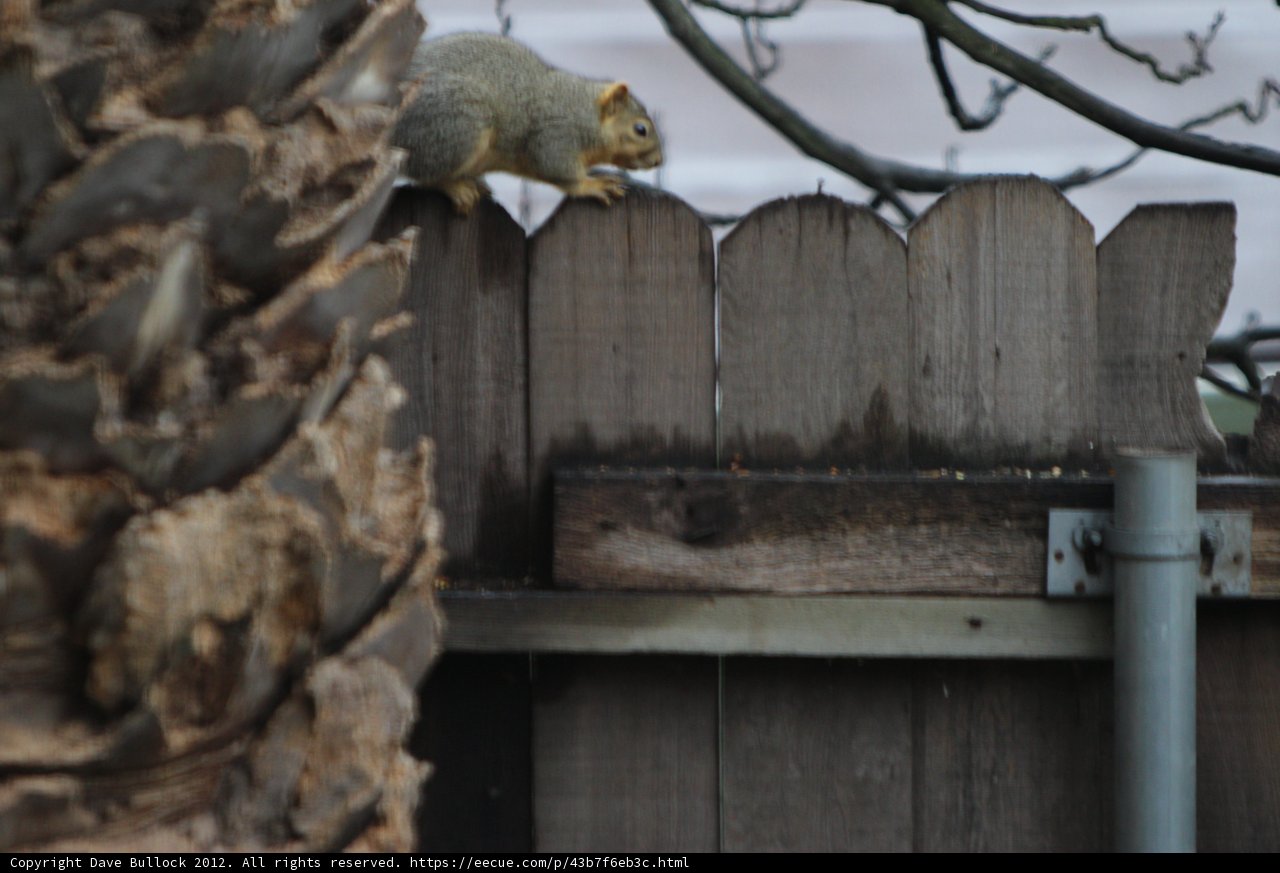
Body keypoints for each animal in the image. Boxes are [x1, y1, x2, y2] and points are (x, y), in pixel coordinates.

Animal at [391, 33, 664, 215]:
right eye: (640, 130)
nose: (658, 160)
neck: (584, 114)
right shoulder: (555, 136)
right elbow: (557, 169)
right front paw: (592, 185)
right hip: (456, 126)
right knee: (422, 171)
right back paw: (456, 187)